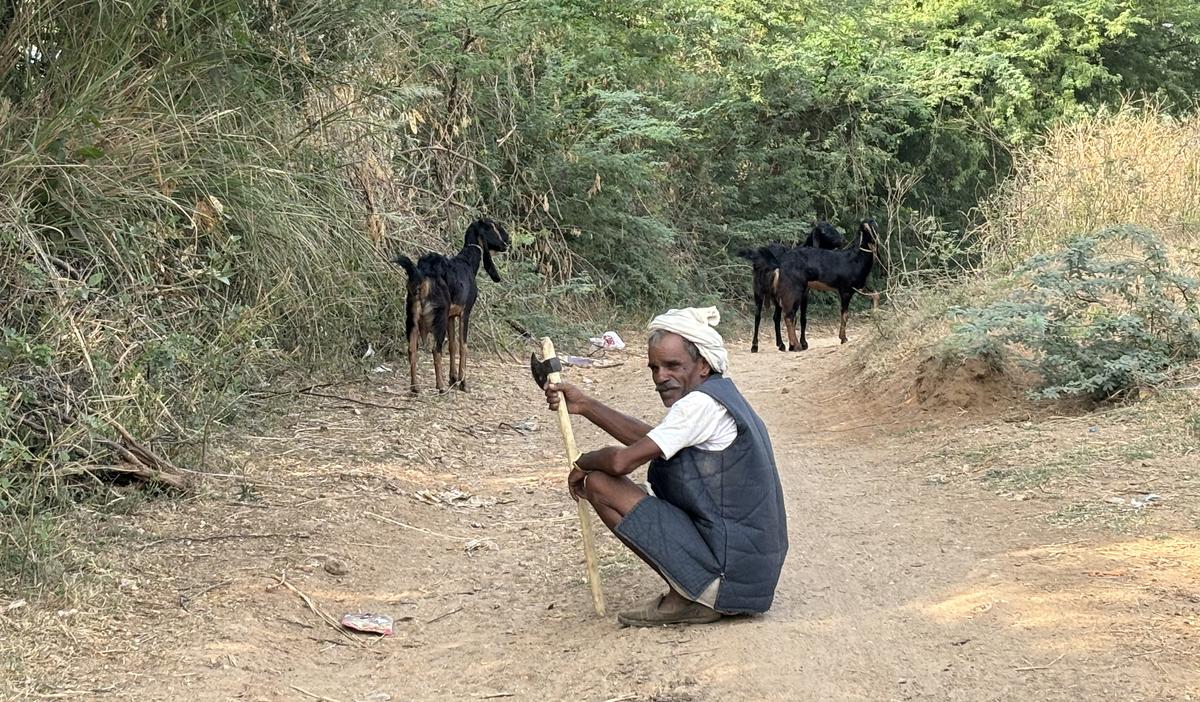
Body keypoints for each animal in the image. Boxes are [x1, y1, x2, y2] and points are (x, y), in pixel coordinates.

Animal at [391, 217, 508, 391]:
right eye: (492, 227)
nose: (506, 244)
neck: (467, 262)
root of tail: (422, 276)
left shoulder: (451, 316)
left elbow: (452, 345)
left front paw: (453, 378)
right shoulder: (465, 313)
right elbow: (463, 345)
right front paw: (463, 382)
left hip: (412, 317)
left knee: (412, 349)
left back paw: (415, 387)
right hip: (438, 317)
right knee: (435, 349)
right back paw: (440, 386)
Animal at [734, 220, 849, 350]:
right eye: (824, 231)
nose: (842, 240)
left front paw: (793, 344)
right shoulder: (803, 293)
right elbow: (801, 318)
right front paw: (803, 343)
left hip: (769, 292)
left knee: (770, 316)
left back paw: (775, 344)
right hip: (762, 289)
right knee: (764, 316)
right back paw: (760, 345)